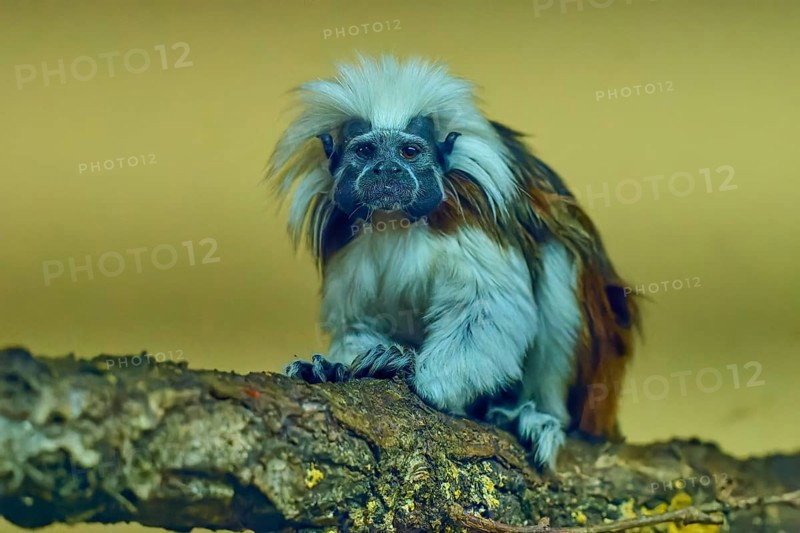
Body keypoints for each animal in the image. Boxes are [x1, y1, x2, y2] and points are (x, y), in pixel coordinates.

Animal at [265, 54, 640, 469]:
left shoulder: (472, 215)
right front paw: (335, 369)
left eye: (409, 153)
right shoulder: (348, 240)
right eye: (365, 152)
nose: (387, 171)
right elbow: (358, 320)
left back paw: (534, 416)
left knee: (560, 257)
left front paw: (408, 369)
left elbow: (490, 307)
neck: (395, 220)